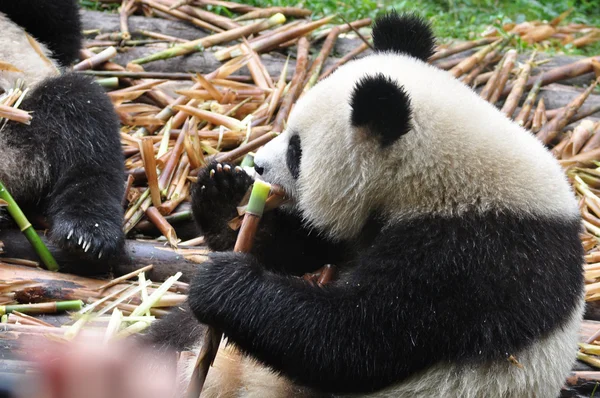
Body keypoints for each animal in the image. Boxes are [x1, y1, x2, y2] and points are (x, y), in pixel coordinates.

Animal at [148, 10, 584, 396]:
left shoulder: (469, 259)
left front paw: (225, 282)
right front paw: (222, 193)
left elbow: (355, 340)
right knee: (173, 332)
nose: (258, 164)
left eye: (296, 151)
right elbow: (302, 249)